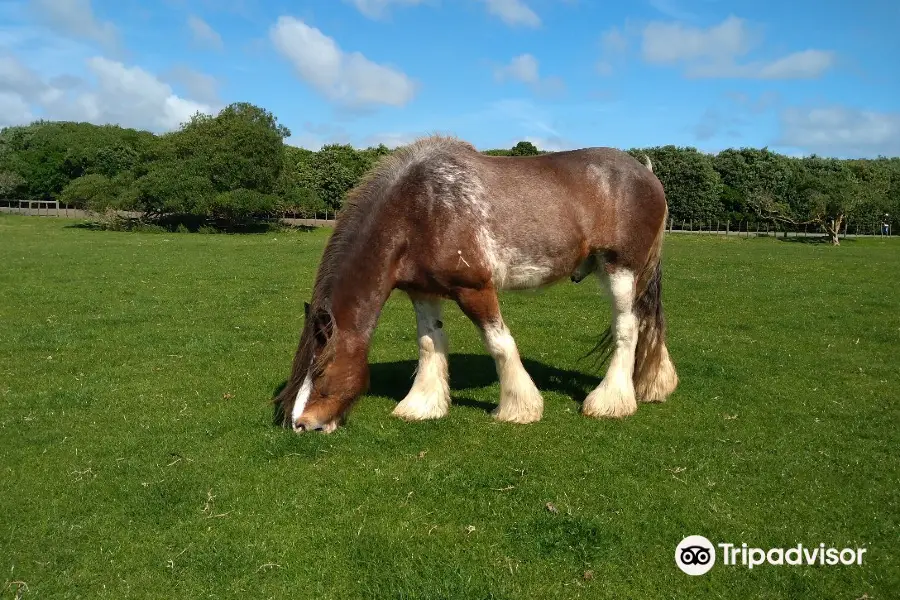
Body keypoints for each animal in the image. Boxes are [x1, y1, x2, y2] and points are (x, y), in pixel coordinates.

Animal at [270, 135, 680, 432]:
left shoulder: (475, 289)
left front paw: (518, 408)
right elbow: (429, 344)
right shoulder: (423, 292)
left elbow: (499, 343)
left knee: (627, 327)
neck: (421, 209)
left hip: (620, 269)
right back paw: (651, 387)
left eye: (321, 371)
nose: (301, 425)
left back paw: (610, 401)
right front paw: (422, 405)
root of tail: (647, 173)